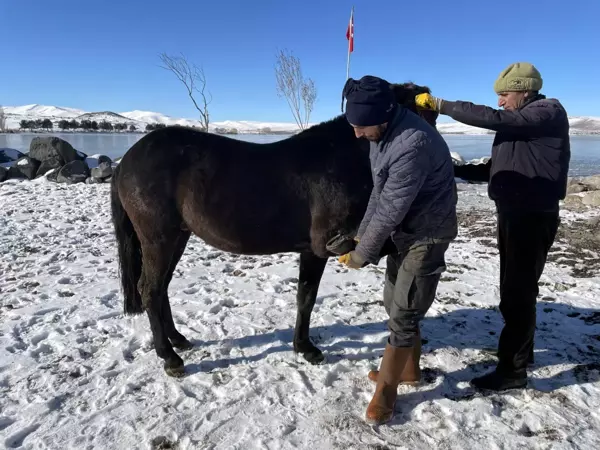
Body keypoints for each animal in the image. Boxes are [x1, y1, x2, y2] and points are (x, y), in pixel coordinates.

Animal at [111, 81, 440, 376]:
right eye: (424, 118)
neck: (337, 161)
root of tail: (127, 160)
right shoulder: (320, 247)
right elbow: (306, 298)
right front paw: (306, 349)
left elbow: (305, 296)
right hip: (159, 239)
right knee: (150, 290)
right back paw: (169, 357)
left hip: (177, 237)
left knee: (161, 288)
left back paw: (178, 340)